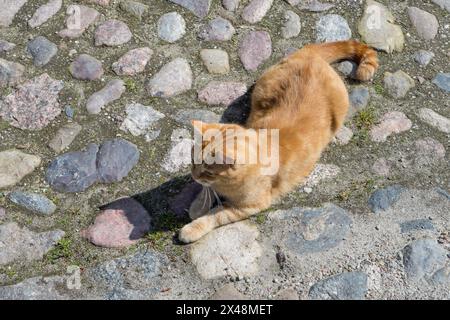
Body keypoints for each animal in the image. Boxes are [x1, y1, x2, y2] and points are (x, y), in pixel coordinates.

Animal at [178, 41, 378, 244]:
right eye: (193, 162)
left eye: (208, 171)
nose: (194, 175)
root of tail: (310, 54)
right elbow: (205, 192)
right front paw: (197, 206)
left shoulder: (248, 206)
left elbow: (215, 214)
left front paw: (192, 227)